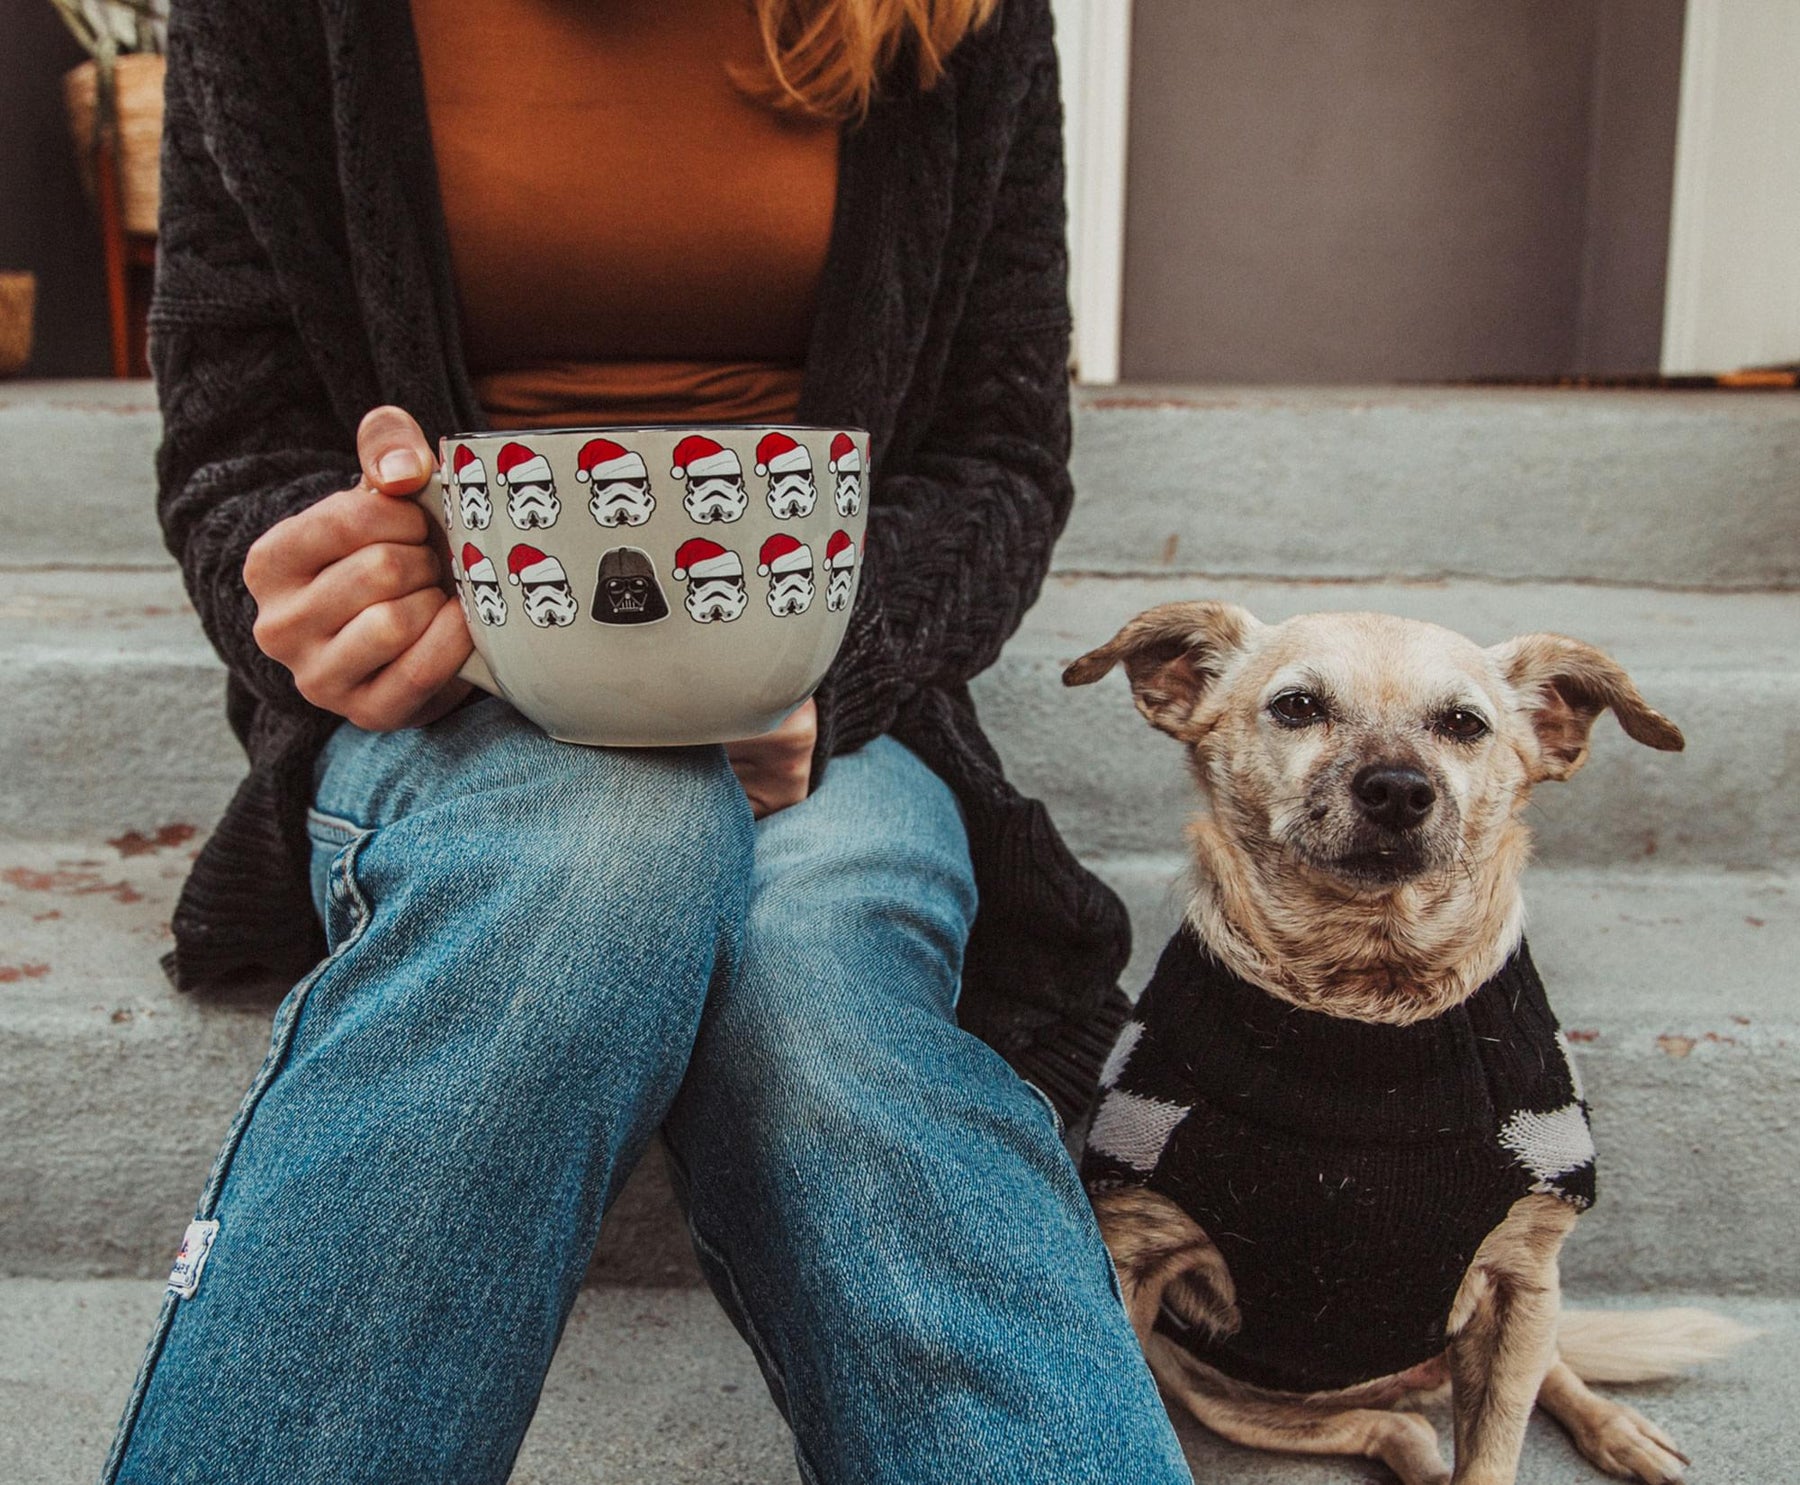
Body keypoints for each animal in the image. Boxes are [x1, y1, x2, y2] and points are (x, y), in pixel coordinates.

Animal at [1058, 601, 1749, 1483]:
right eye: (1297, 706)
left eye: (1464, 724)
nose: (1398, 789)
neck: (1367, 1001)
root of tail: (1408, 1377)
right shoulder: (1134, 1262)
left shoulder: (1520, 1280)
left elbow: (1492, 1453)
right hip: (1219, 1388)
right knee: (1398, 1430)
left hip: (1524, 1312)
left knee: (1546, 1371)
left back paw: (1614, 1426)